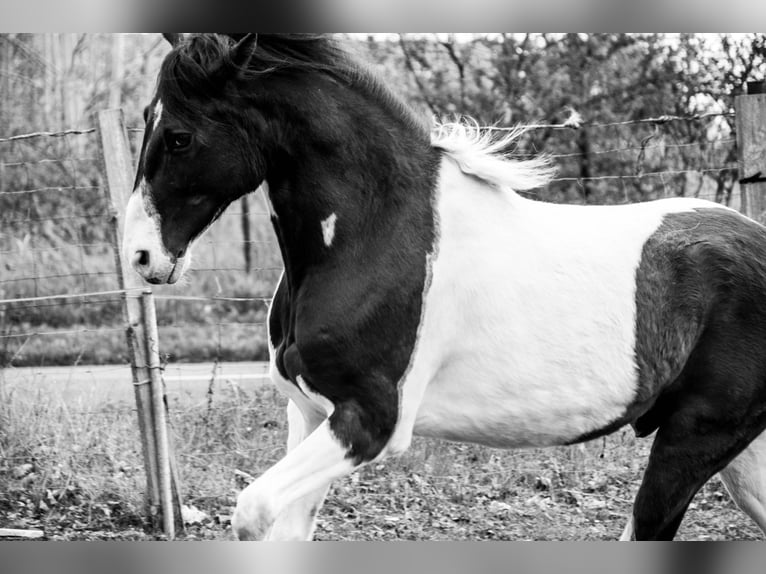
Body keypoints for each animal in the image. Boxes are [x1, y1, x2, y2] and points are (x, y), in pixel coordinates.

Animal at [122, 33, 766, 540]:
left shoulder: (371, 422)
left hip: (695, 438)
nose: (141, 255)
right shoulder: (306, 413)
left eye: (178, 136)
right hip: (739, 452)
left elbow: (252, 511)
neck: (377, 233)